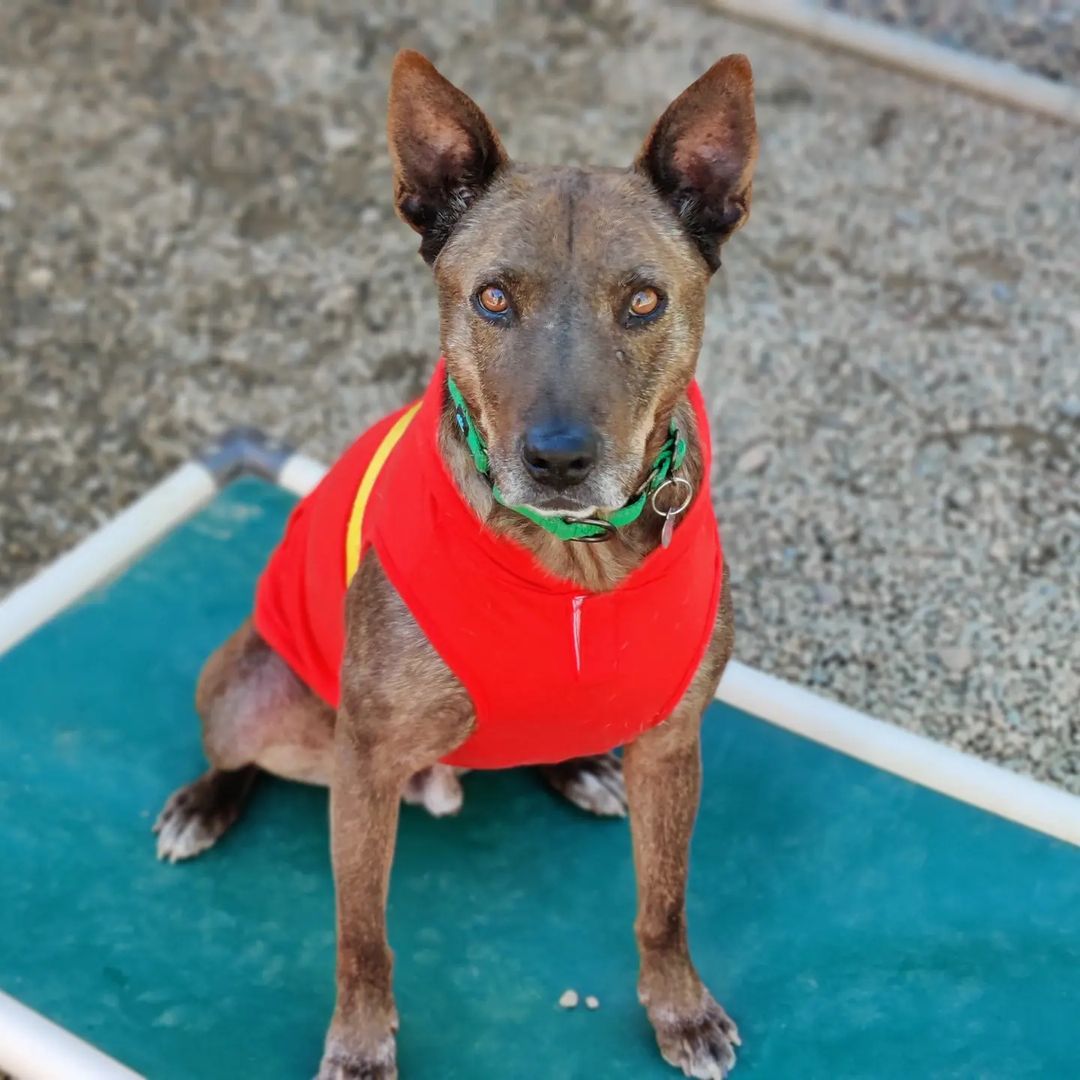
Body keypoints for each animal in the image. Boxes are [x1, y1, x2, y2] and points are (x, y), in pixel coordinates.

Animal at [156, 48, 760, 1080]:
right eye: (493, 299)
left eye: (644, 300)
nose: (558, 460)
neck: (574, 559)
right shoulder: (364, 765)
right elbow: (362, 935)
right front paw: (362, 1042)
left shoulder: (672, 744)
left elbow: (664, 904)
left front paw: (677, 1007)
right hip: (251, 696)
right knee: (233, 751)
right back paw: (205, 800)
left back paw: (578, 765)